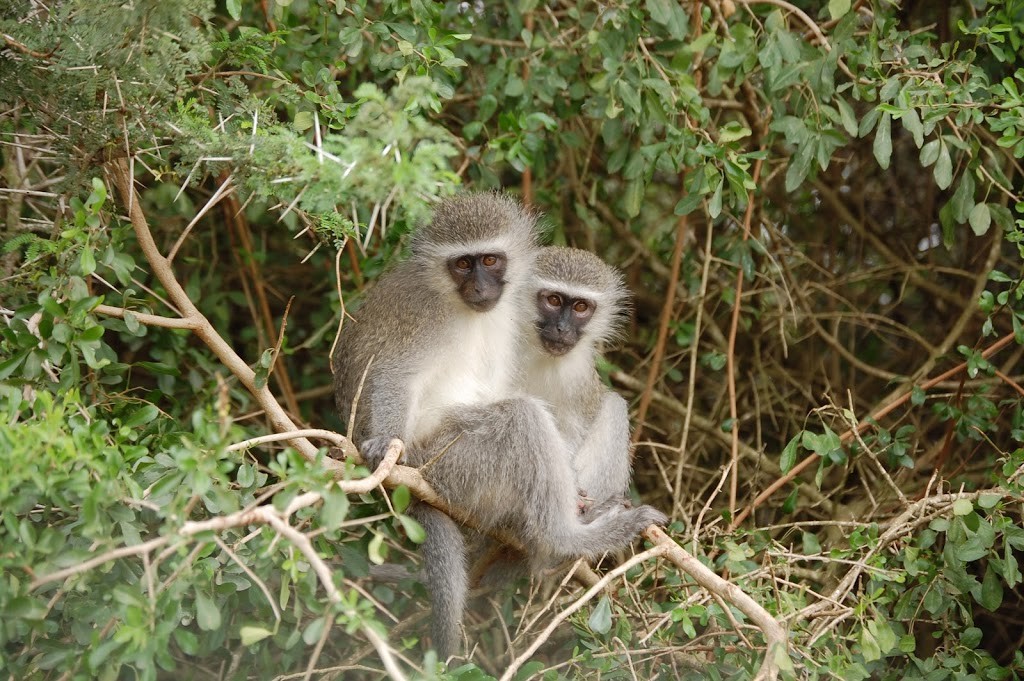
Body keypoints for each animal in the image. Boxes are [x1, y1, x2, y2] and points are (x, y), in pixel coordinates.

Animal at [335, 195, 667, 659]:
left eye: (490, 260)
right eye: (463, 264)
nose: (480, 288)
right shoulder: (424, 316)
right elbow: (393, 374)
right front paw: (383, 442)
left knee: (608, 406)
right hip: (448, 463)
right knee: (520, 418)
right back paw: (567, 539)